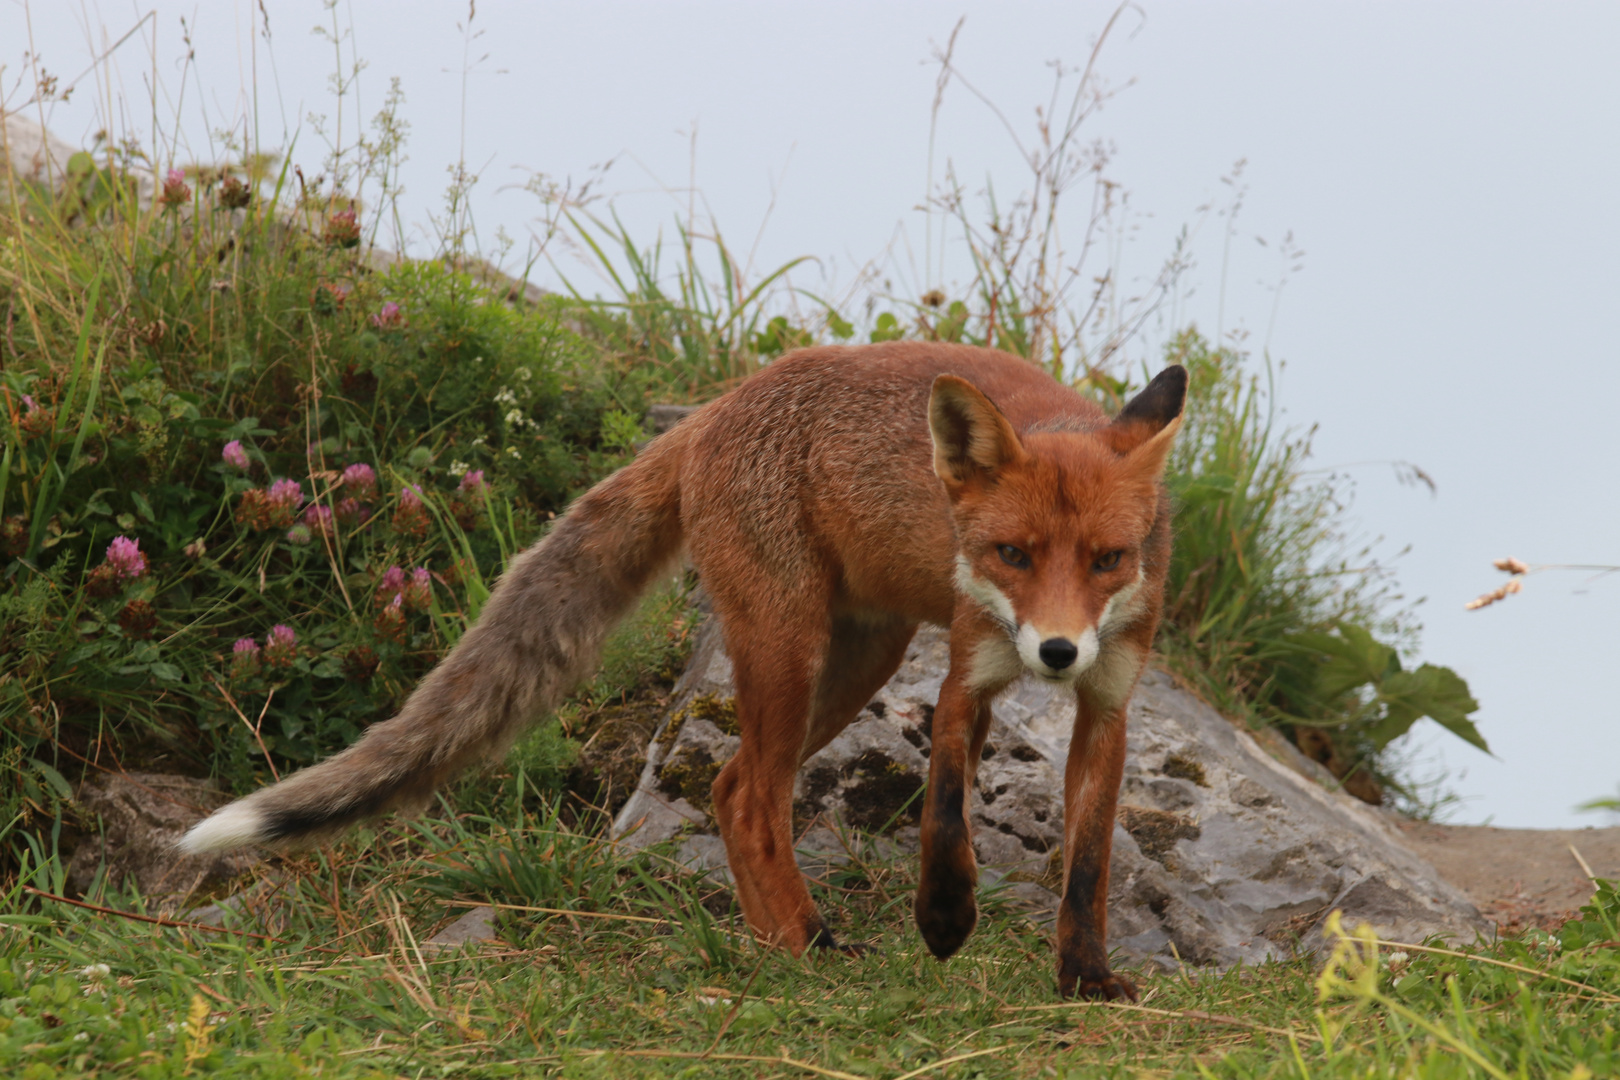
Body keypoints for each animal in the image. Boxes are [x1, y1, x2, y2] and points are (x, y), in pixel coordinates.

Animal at [183, 341, 1185, 1003]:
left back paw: (775, 941)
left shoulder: (1109, 703)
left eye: (1110, 560)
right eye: (1012, 553)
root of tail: (712, 409)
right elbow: (943, 814)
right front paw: (943, 919)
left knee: (732, 786)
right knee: (750, 797)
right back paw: (808, 945)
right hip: (791, 649)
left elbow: (1090, 860)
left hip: (861, 656)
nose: (1056, 653)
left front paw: (1087, 978)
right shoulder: (965, 669)